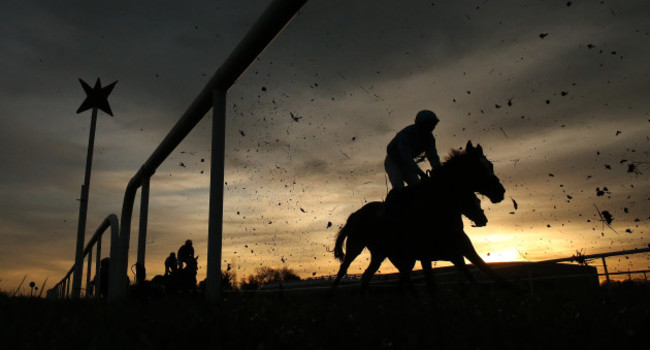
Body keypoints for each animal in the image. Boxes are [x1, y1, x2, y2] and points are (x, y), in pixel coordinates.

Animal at [332, 142, 508, 292]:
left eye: (490, 165)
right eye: (478, 168)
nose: (500, 192)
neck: (436, 207)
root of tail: (355, 214)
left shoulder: (460, 247)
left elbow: (485, 270)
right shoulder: (425, 255)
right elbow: (432, 285)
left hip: (380, 253)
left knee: (367, 276)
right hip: (355, 246)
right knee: (342, 271)